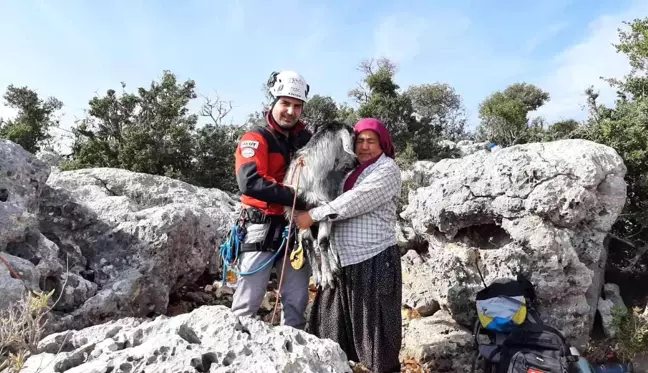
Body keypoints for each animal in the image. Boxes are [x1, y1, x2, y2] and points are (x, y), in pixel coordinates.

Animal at [284, 119, 360, 288]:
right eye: (352, 138)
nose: (356, 162)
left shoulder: (327, 210)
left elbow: (323, 241)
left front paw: (327, 276)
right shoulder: (300, 215)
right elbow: (307, 242)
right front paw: (319, 276)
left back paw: (334, 267)